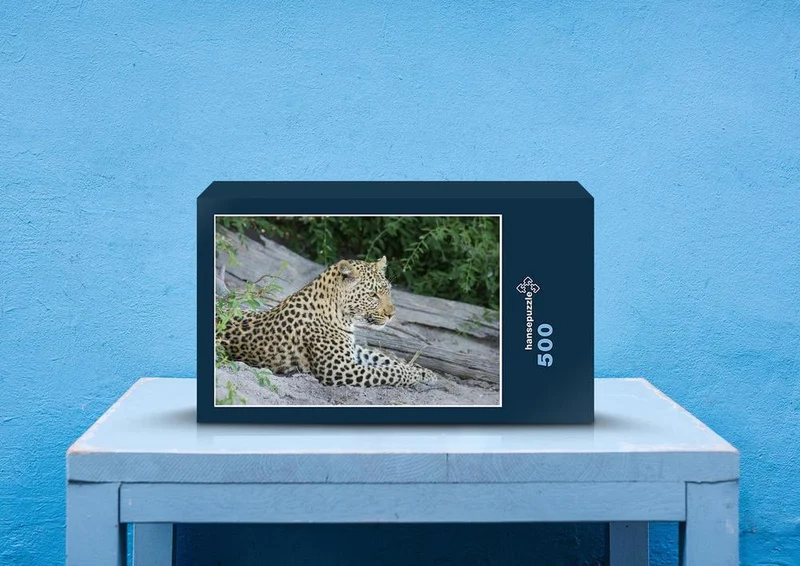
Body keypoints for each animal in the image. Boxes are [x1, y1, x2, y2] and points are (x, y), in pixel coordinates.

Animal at [216, 256, 439, 388]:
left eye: (388, 291)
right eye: (373, 295)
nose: (392, 314)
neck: (342, 315)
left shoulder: (353, 351)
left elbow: (386, 360)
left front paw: (426, 373)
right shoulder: (340, 369)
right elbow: (390, 371)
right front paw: (415, 375)